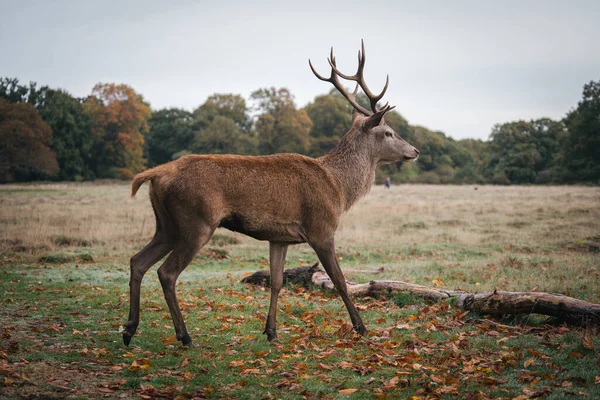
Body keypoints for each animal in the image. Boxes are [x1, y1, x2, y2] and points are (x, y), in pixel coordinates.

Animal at [123, 41, 418, 346]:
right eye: (388, 132)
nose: (415, 150)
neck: (338, 188)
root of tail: (156, 174)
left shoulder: (279, 238)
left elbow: (277, 281)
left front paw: (271, 331)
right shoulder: (322, 229)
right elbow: (339, 280)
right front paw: (361, 327)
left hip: (167, 224)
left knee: (137, 261)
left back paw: (129, 329)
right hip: (197, 221)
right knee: (166, 272)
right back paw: (184, 336)